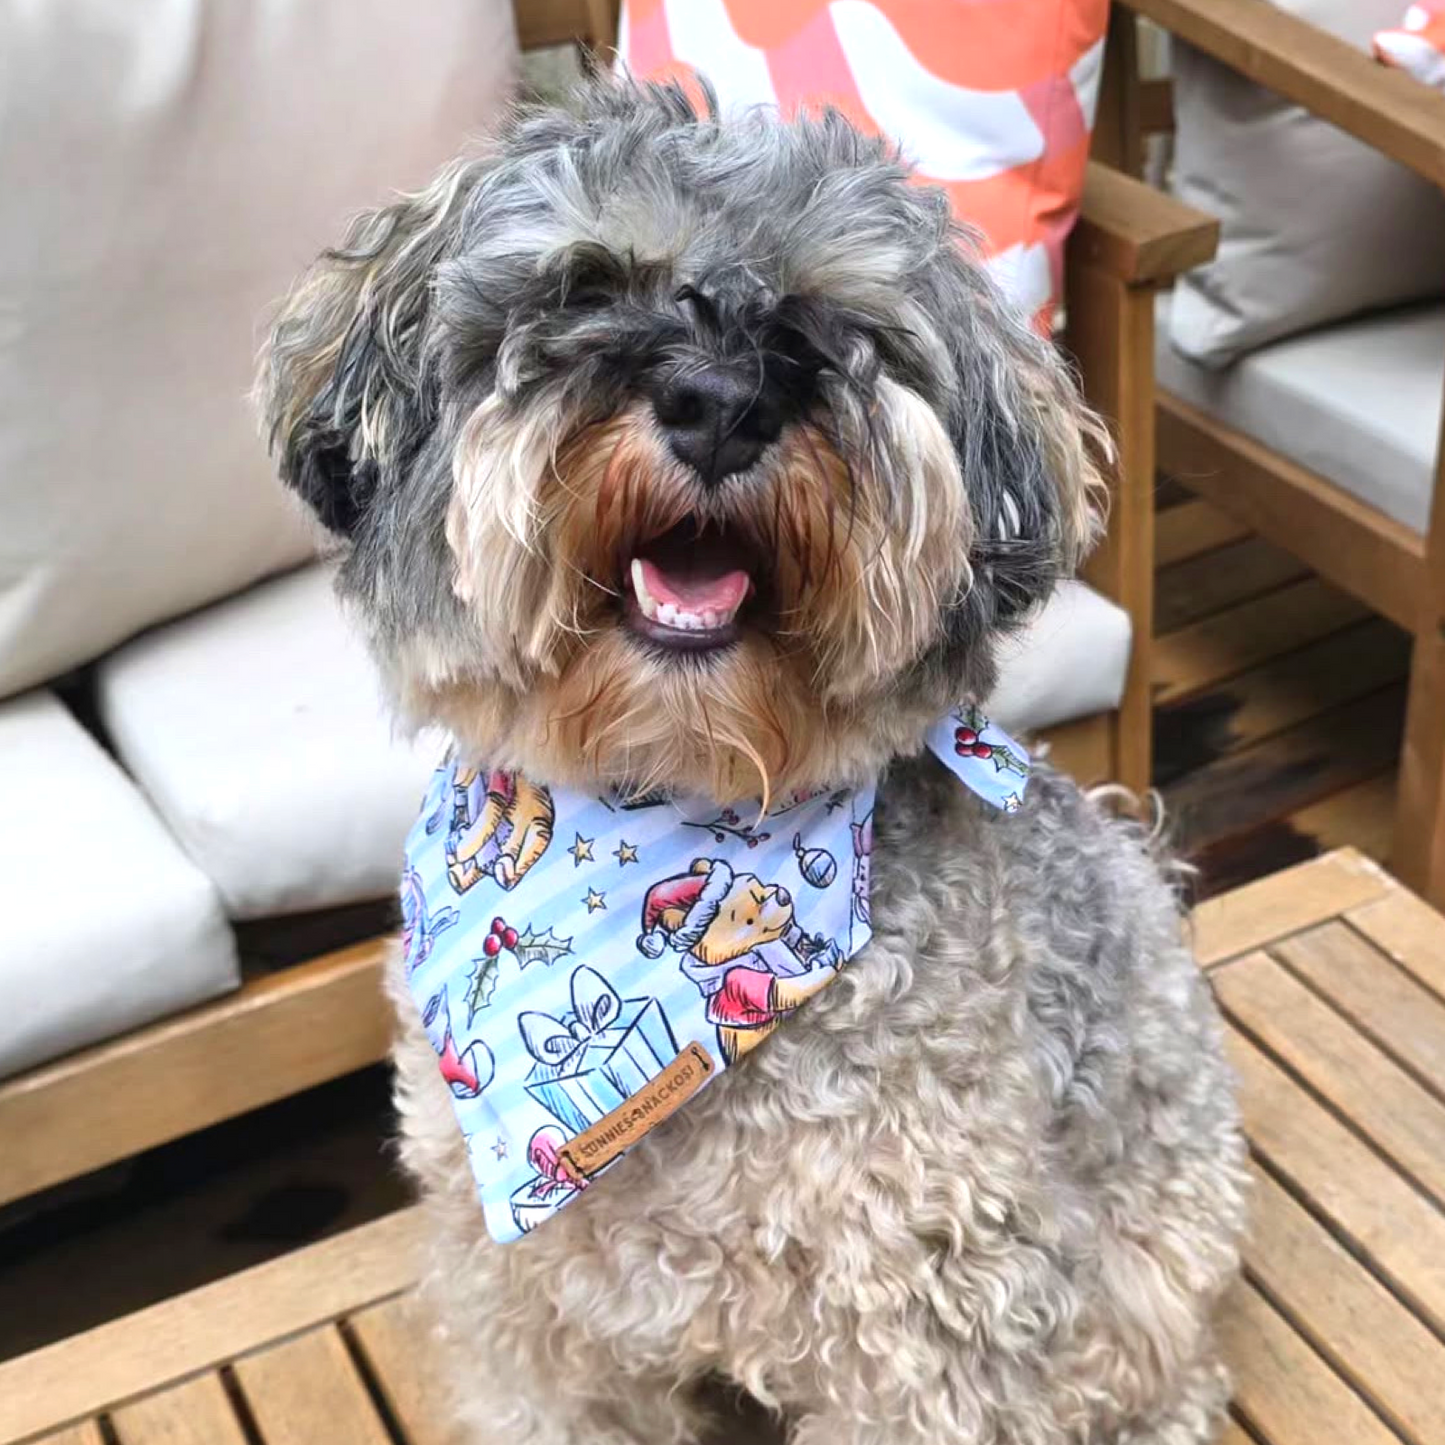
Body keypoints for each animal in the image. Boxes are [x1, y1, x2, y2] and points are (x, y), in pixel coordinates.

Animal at [262, 79, 1254, 1445]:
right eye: (585, 282)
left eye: (843, 321)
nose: (721, 400)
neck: (668, 810)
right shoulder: (536, 1317)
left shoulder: (925, 1324)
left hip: (1143, 1277)